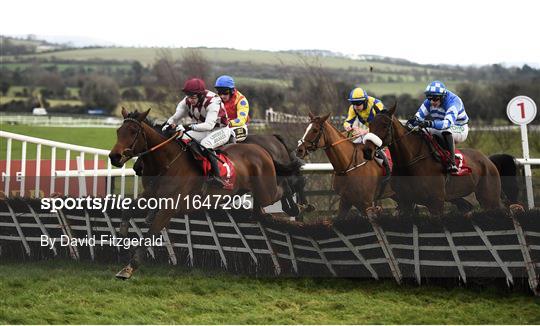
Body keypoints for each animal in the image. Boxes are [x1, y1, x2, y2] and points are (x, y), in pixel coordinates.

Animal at [108, 108, 298, 278]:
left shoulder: (169, 208)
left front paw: (129, 267)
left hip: (266, 191)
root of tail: (262, 150)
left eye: (133, 132)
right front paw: (123, 244)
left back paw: (294, 207)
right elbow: (128, 211)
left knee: (284, 187)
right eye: (118, 131)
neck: (167, 162)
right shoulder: (150, 195)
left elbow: (151, 232)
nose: (114, 157)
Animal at [362, 104, 520, 216]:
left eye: (385, 125)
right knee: (466, 207)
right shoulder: (405, 203)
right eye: (370, 124)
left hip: (489, 198)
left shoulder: (435, 203)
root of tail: (488, 160)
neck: (411, 161)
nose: (367, 151)